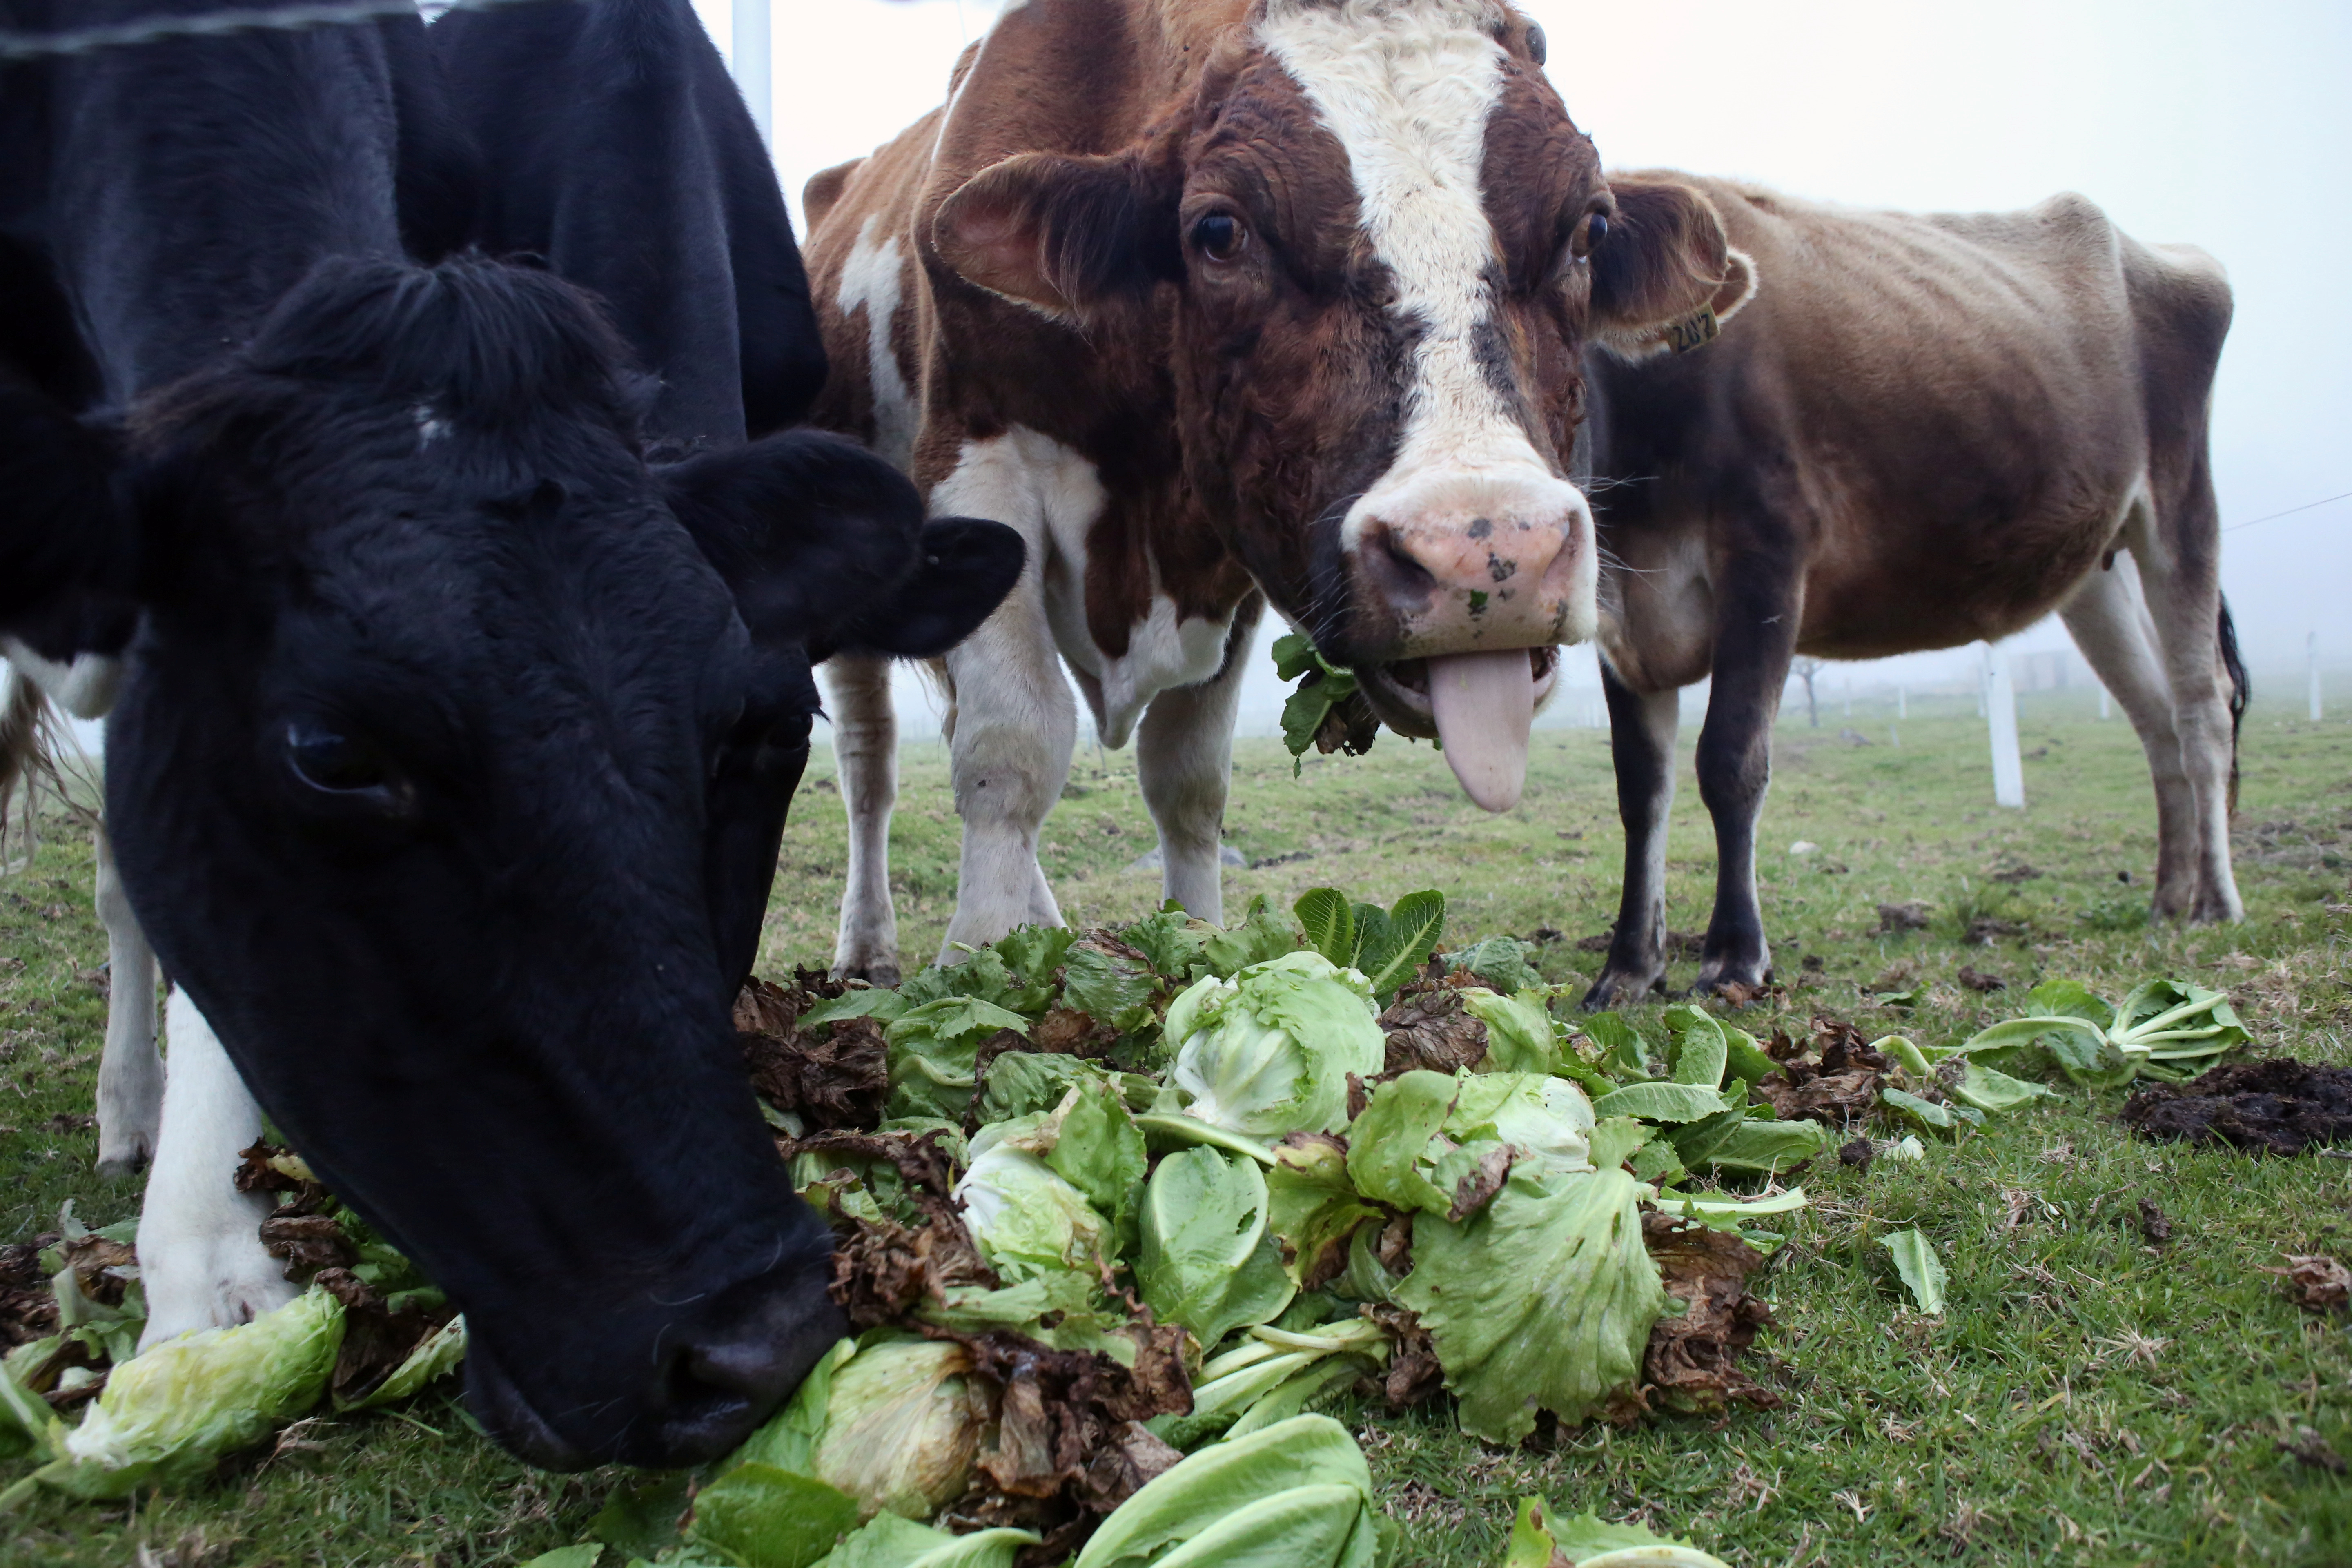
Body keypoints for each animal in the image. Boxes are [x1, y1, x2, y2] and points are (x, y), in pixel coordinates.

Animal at [800, 0, 1759, 982]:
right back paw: (870, 945)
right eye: (1221, 231)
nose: (1489, 551)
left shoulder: (1232, 559)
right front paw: (985, 967)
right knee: (870, 759)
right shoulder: (978, 470)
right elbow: (1012, 749)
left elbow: (1188, 778)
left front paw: (1195, 952)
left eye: (1589, 231)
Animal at [1580, 175, 2239, 1006]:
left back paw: (2215, 903)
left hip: (2182, 502)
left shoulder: (1768, 555)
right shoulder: (1623, 608)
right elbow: (1641, 789)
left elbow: (1730, 760)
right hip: (2097, 566)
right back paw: (2166, 899)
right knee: (2154, 721)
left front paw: (1734, 957)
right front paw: (1629, 967)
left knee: (2201, 709)